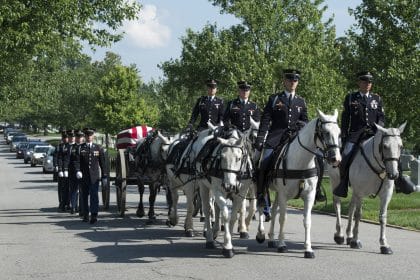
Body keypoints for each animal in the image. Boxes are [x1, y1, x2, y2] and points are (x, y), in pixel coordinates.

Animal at [256, 109, 342, 258]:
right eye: (325, 132)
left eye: (339, 132)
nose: (335, 159)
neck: (301, 162)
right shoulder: (284, 195)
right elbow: (283, 218)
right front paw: (282, 245)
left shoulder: (309, 196)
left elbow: (307, 221)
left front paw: (308, 249)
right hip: (260, 187)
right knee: (261, 205)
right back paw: (261, 234)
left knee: (273, 210)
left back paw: (271, 238)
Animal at [330, 122, 406, 254]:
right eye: (385, 146)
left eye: (400, 146)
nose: (393, 174)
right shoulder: (360, 193)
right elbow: (358, 214)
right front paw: (356, 241)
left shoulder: (386, 195)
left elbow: (383, 217)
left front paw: (384, 244)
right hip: (336, 183)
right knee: (338, 205)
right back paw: (340, 235)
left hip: (354, 191)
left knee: (351, 207)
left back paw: (349, 236)